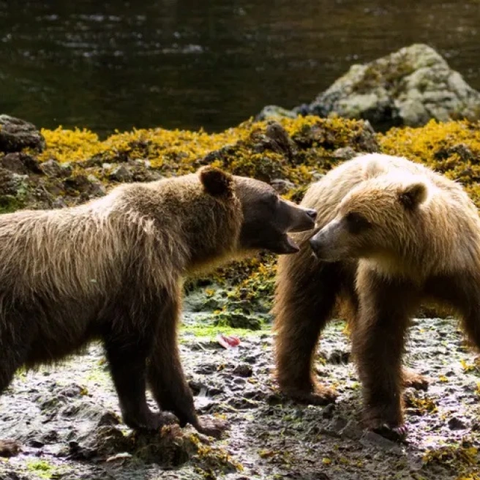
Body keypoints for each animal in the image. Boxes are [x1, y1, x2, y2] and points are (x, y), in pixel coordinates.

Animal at [0, 165, 318, 454]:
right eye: (273, 197)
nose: (310, 212)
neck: (183, 238)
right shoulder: (140, 276)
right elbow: (131, 351)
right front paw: (152, 417)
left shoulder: (164, 289)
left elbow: (165, 356)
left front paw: (205, 422)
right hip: (13, 314)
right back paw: (8, 443)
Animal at [272, 154, 480, 438]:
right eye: (342, 210)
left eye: (356, 218)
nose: (318, 241)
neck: (424, 262)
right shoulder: (384, 281)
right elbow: (379, 334)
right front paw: (389, 423)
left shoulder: (466, 271)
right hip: (318, 265)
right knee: (304, 312)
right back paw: (309, 389)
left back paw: (410, 376)